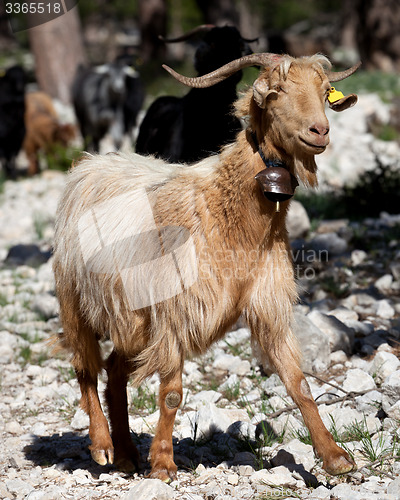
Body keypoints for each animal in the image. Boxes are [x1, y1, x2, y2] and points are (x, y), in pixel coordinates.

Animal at [51, 53, 360, 480]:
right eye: (275, 92)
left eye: (324, 91)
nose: (320, 131)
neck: (226, 217)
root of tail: (89, 165)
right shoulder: (173, 313)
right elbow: (171, 394)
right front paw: (163, 463)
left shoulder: (268, 302)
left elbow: (298, 383)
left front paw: (334, 457)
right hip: (75, 301)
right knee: (85, 368)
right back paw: (102, 446)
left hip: (132, 319)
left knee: (114, 372)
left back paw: (127, 453)